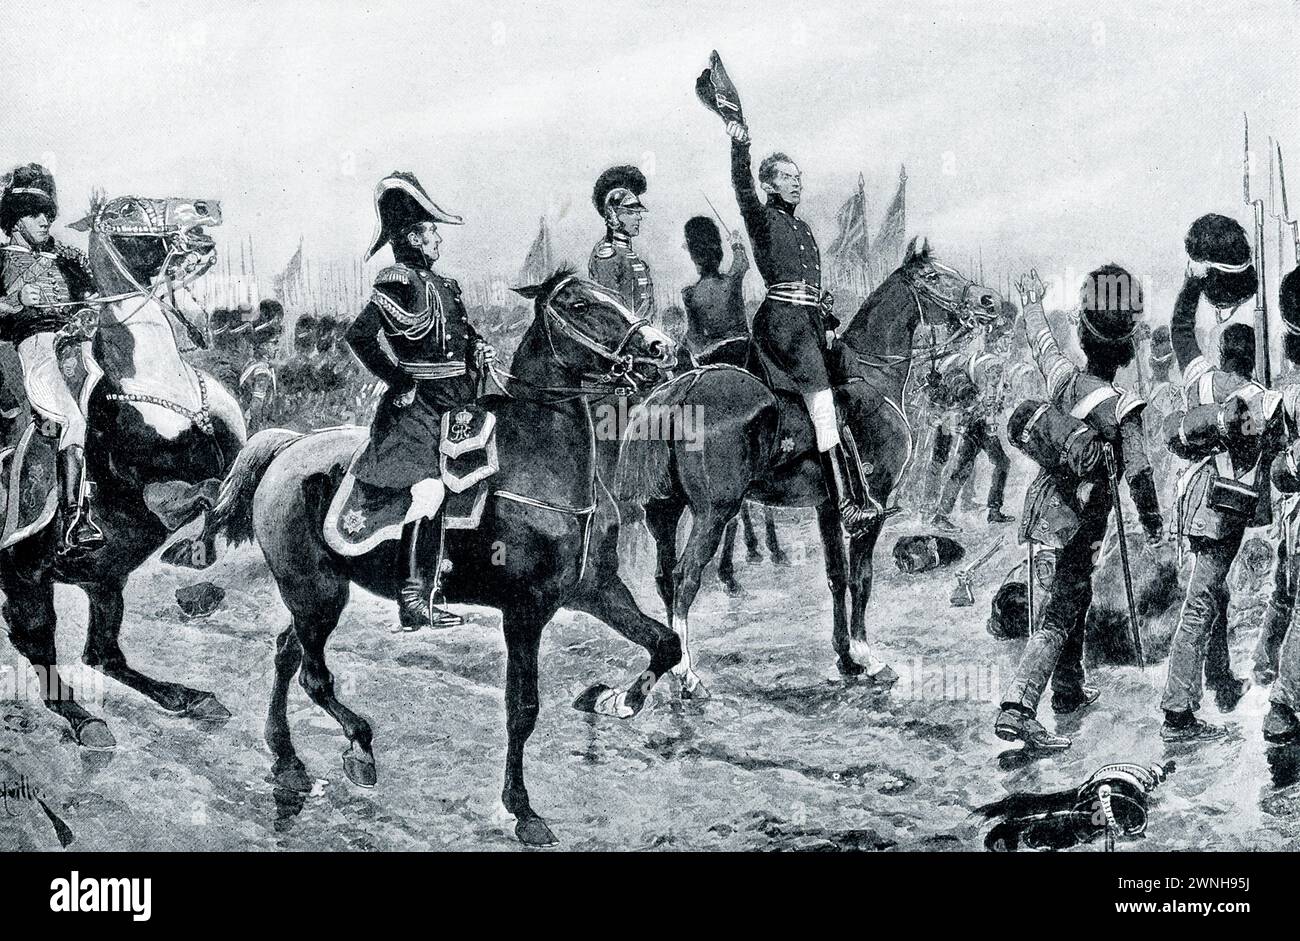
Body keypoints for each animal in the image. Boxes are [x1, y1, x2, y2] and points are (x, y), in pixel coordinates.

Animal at [0, 192, 244, 748]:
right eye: (127, 207)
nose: (207, 208)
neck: (164, 387)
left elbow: (240, 473)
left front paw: (202, 549)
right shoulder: (152, 494)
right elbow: (205, 489)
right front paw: (189, 550)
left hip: (104, 580)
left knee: (102, 654)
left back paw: (189, 698)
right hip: (26, 579)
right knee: (43, 655)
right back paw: (86, 721)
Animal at [205, 270, 681, 847]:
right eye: (581, 304)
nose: (660, 348)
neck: (541, 471)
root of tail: (289, 446)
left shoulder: (598, 592)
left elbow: (666, 644)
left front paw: (617, 700)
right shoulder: (525, 612)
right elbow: (522, 709)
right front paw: (523, 809)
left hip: (315, 595)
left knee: (285, 652)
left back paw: (287, 759)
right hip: (315, 591)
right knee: (313, 675)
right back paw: (359, 747)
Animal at [616, 239, 993, 686]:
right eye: (934, 276)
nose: (988, 301)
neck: (870, 374)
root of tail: (682, 387)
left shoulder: (829, 507)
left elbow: (836, 577)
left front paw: (846, 658)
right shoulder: (876, 504)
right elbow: (861, 578)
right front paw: (868, 656)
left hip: (664, 509)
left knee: (663, 577)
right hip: (713, 512)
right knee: (684, 577)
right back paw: (687, 675)